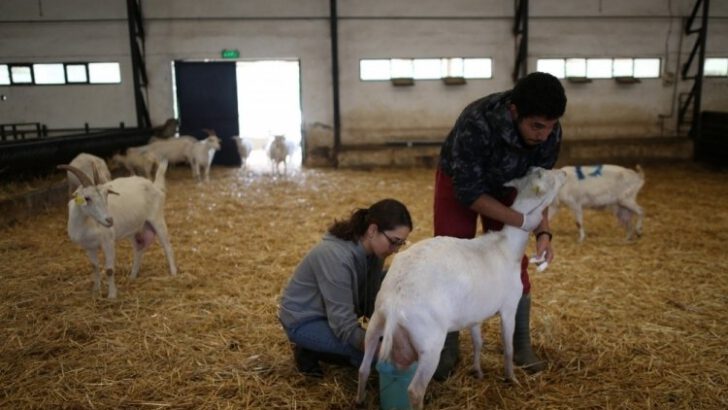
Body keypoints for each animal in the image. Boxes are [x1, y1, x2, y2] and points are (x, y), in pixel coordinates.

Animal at [57, 160, 176, 298]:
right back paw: (132, 276)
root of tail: (154, 185)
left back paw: (173, 273)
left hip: (157, 218)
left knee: (167, 246)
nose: (109, 220)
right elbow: (94, 266)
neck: (86, 223)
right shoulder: (88, 246)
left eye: (106, 195)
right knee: (139, 248)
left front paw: (112, 295)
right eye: (87, 198)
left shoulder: (108, 241)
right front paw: (96, 290)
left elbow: (109, 270)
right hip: (136, 229)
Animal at [356, 167, 564, 410]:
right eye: (549, 178)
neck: (506, 245)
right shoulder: (509, 306)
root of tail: (394, 305)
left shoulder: (474, 314)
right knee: (415, 390)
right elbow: (508, 346)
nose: (563, 173)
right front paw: (511, 377)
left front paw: (478, 371)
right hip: (430, 343)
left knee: (363, 367)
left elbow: (478, 342)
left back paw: (359, 400)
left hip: (375, 324)